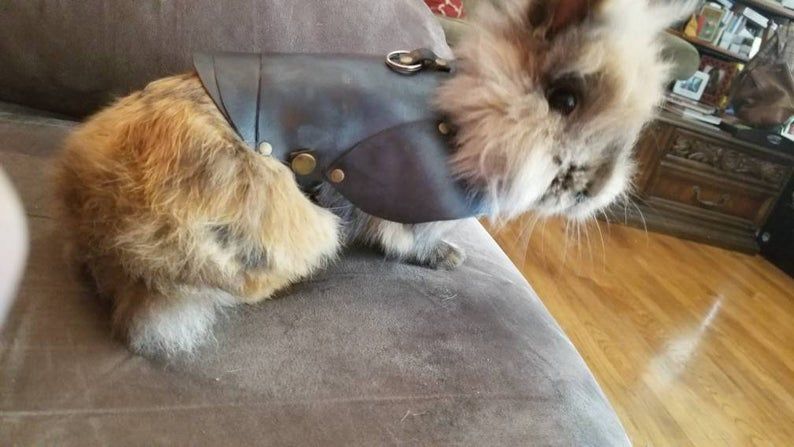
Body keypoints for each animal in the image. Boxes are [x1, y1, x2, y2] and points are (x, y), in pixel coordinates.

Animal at [57, 0, 694, 357]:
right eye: (565, 99)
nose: (598, 189)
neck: (467, 113)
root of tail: (108, 243)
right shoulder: (413, 196)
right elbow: (411, 238)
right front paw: (448, 259)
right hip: (293, 220)